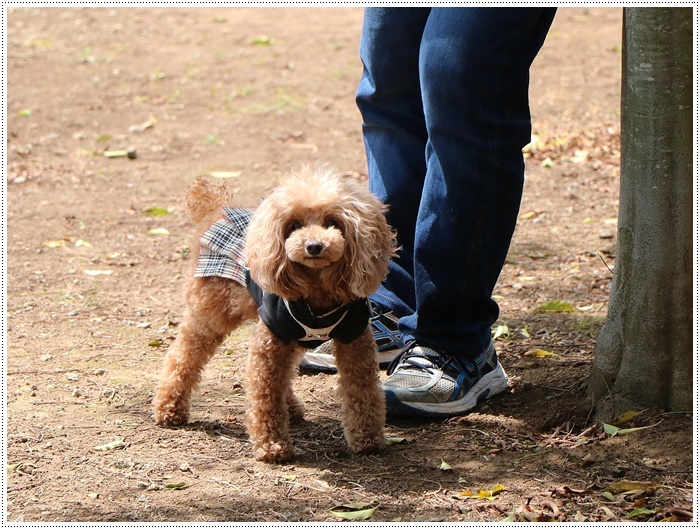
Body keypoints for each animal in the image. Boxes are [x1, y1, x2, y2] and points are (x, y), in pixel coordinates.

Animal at [153, 166, 396, 462]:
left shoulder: (354, 340)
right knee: (183, 357)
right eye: (295, 225)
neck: (316, 290)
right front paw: (272, 446)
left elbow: (362, 390)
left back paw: (290, 408)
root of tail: (216, 209)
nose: (314, 246)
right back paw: (168, 408)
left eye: (332, 222)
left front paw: (368, 439)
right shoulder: (270, 340)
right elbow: (265, 394)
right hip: (211, 313)